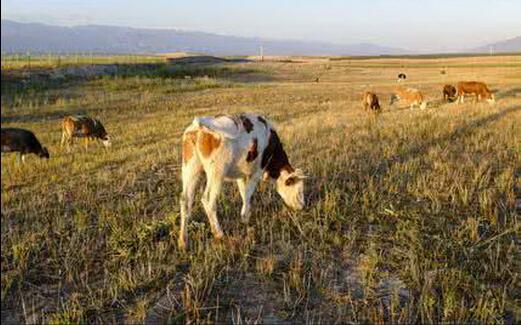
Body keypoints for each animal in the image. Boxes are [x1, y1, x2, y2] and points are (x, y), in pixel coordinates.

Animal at [177, 112, 306, 249]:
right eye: (298, 190)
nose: (302, 206)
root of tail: (198, 125)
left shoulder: (241, 175)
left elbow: (243, 193)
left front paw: (245, 215)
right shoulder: (256, 172)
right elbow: (248, 193)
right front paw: (245, 218)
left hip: (190, 167)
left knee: (185, 200)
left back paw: (183, 241)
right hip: (216, 172)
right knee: (207, 200)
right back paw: (219, 233)